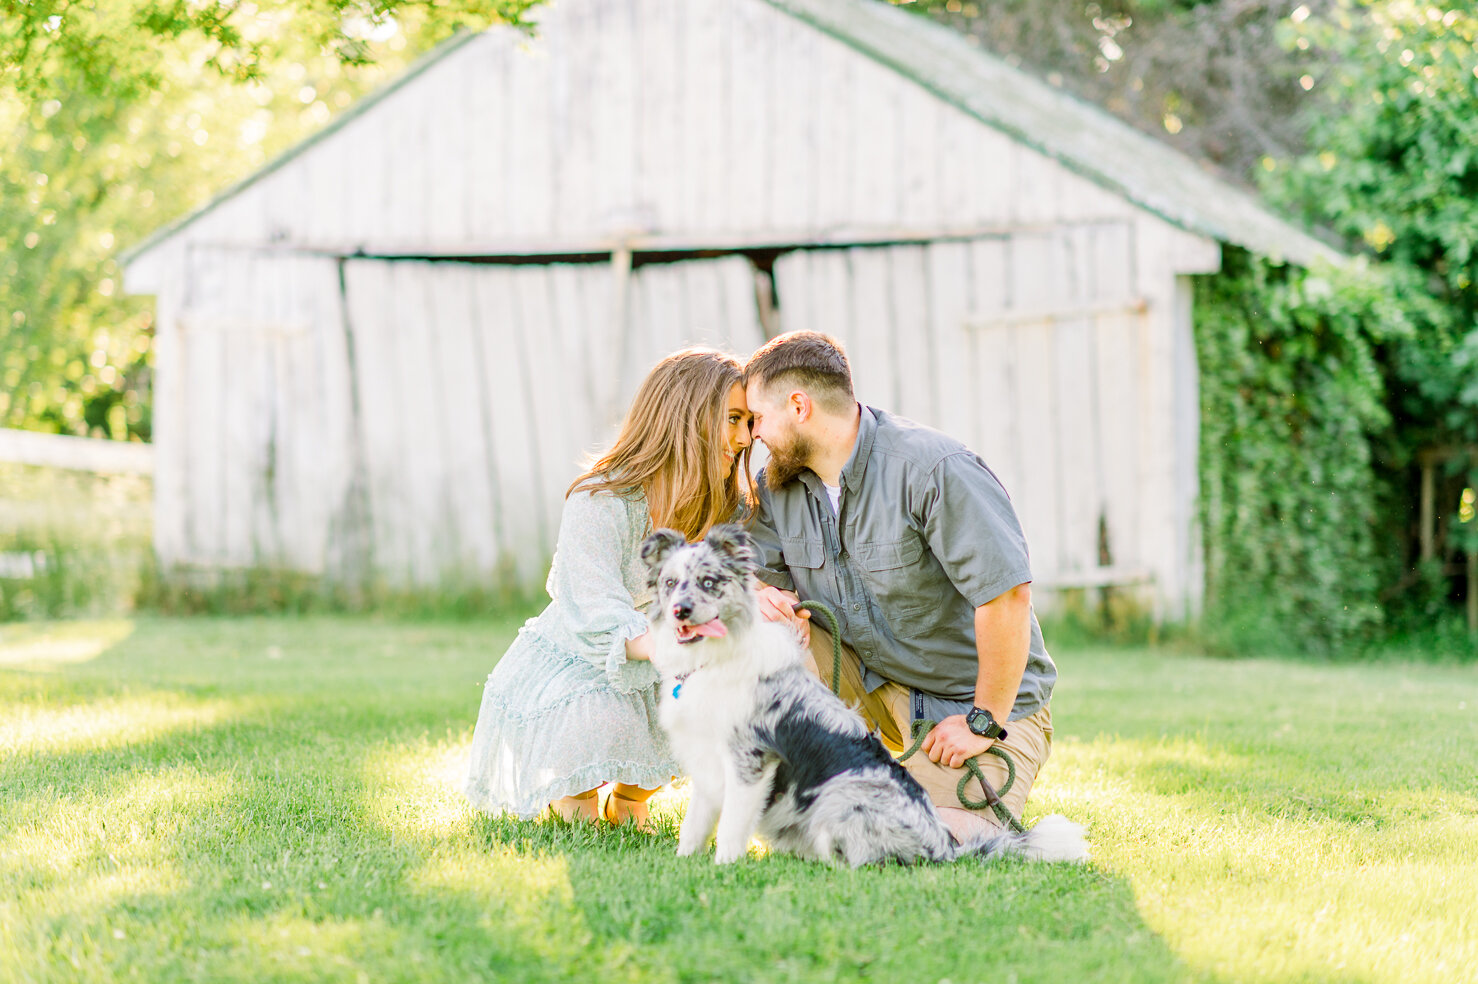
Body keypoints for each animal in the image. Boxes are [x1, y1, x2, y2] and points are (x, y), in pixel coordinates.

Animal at [641, 525, 1093, 862]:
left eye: (709, 582)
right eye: (670, 583)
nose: (680, 611)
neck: (713, 660)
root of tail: (946, 846)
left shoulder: (750, 762)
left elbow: (732, 826)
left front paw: (725, 868)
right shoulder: (705, 760)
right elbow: (695, 825)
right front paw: (685, 865)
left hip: (838, 798)